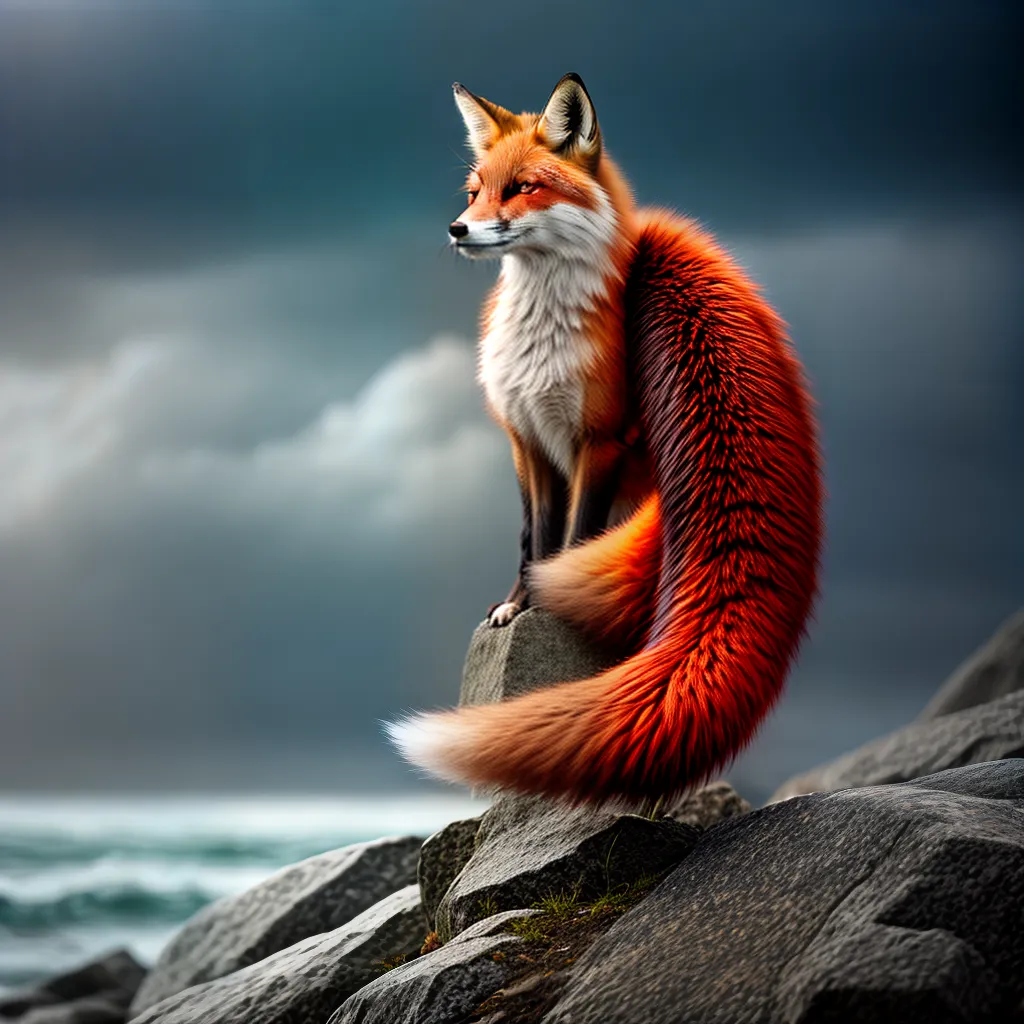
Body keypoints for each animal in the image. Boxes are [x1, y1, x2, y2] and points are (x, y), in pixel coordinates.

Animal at [388, 73, 824, 805]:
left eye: (522, 187)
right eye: (474, 192)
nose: (457, 229)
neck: (541, 339)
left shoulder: (600, 440)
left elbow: (573, 537)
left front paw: (548, 610)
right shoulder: (527, 440)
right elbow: (534, 538)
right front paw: (517, 607)